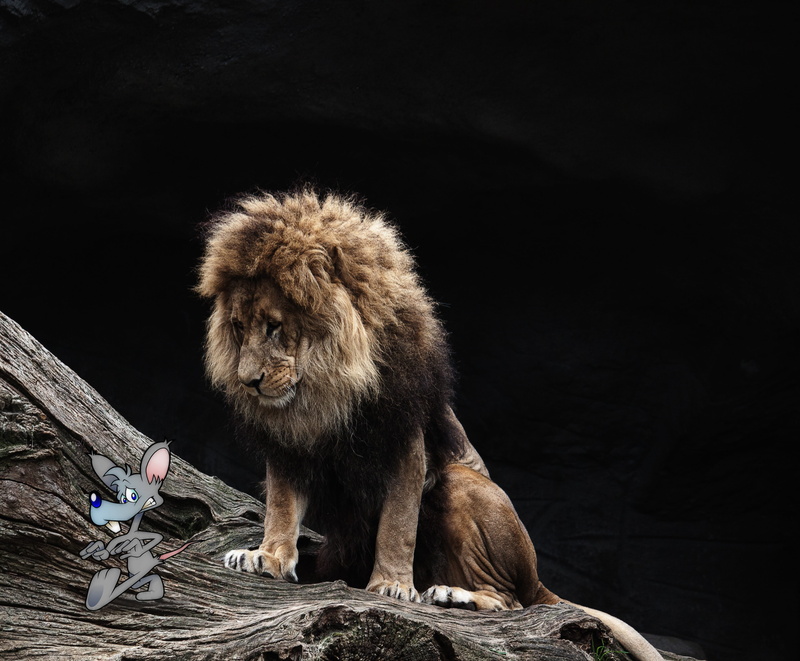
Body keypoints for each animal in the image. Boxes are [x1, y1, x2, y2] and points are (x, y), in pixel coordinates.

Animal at [195, 189, 663, 661]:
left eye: (274, 327)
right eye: (238, 327)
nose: (248, 382)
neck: (325, 391)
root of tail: (537, 578)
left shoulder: (406, 438)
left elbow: (399, 522)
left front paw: (391, 585)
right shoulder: (290, 445)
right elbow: (282, 504)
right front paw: (268, 558)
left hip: (459, 485)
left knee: (511, 601)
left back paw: (450, 595)